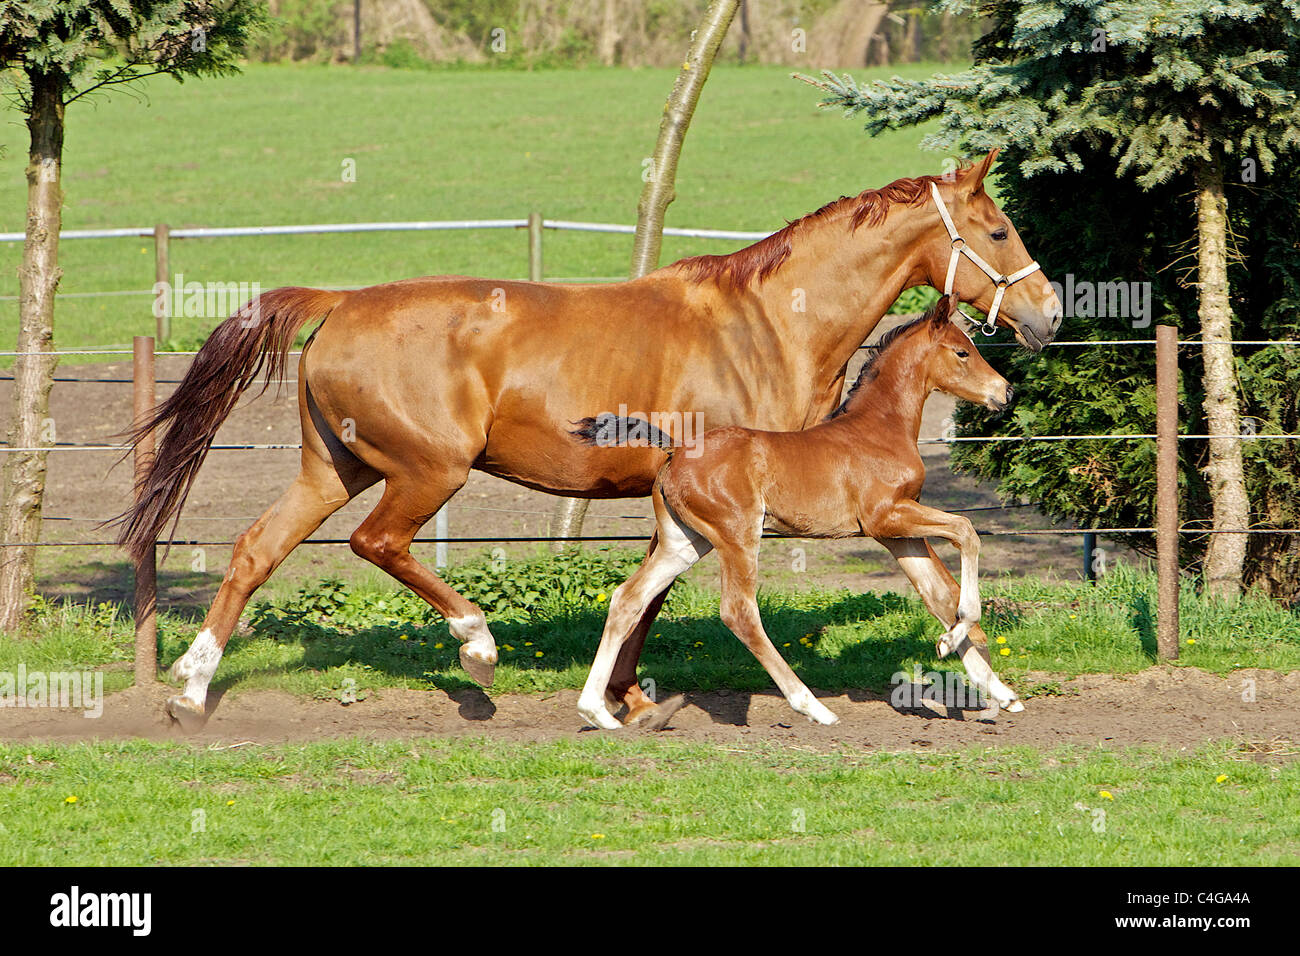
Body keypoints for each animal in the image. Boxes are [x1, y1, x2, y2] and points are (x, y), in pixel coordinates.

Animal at [571, 295, 1023, 729]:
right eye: (962, 352)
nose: (1006, 392)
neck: (879, 430)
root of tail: (676, 451)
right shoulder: (887, 516)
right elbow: (966, 531)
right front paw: (959, 641)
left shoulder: (896, 533)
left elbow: (939, 594)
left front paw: (997, 690)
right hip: (737, 535)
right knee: (739, 612)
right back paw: (813, 707)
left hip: (684, 542)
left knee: (628, 598)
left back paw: (597, 712)